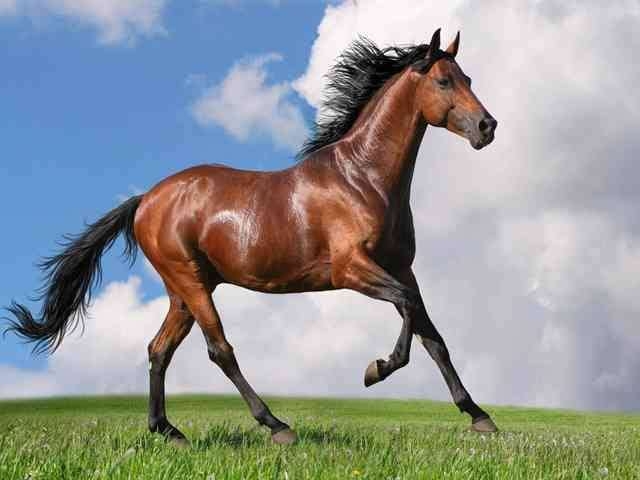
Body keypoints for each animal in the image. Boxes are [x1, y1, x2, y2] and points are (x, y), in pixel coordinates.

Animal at [5, 29, 498, 445]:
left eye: (468, 77)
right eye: (443, 81)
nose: (487, 127)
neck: (363, 178)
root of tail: (146, 199)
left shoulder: (401, 268)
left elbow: (432, 336)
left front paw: (479, 416)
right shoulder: (352, 269)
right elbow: (409, 312)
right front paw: (375, 370)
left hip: (182, 291)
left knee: (159, 349)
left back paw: (168, 431)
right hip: (192, 283)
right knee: (219, 350)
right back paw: (277, 425)